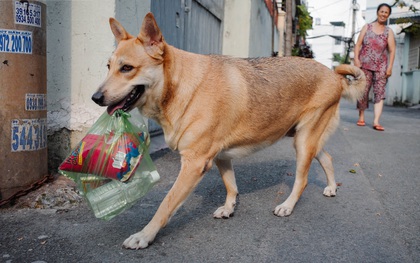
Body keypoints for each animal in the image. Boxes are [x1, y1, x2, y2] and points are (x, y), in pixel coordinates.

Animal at [91, 13, 364, 251]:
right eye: (108, 66)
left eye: (127, 68)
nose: (95, 98)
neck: (179, 86)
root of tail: (334, 75)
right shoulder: (221, 157)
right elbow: (231, 185)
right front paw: (229, 208)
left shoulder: (194, 164)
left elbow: (166, 204)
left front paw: (144, 235)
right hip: (305, 140)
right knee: (327, 157)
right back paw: (331, 187)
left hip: (304, 141)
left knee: (303, 179)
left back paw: (287, 205)